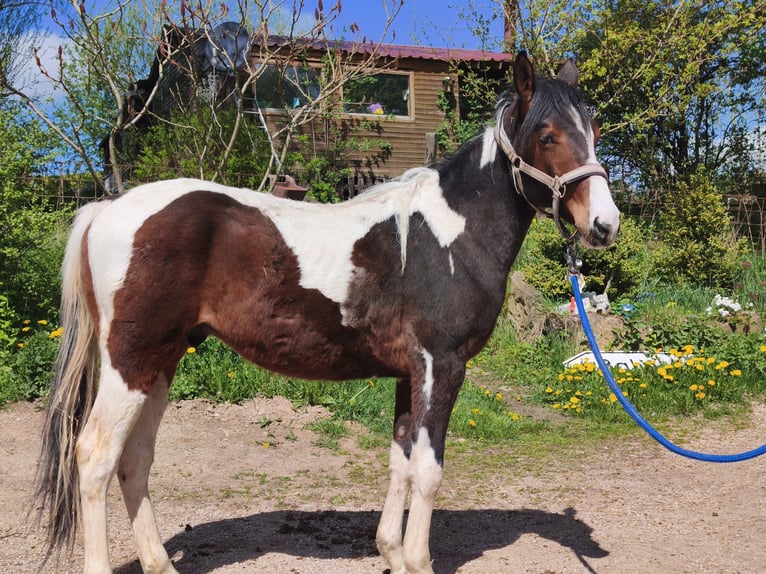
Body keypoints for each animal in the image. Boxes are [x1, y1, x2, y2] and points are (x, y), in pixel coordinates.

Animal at [33, 51, 620, 574]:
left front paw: (391, 553)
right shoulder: (442, 365)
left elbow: (401, 462)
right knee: (95, 457)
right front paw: (417, 560)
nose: (605, 224)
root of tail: (108, 207)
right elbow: (428, 470)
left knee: (134, 460)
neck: (451, 235)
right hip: (130, 362)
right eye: (547, 134)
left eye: (593, 127)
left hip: (161, 362)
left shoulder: (409, 373)